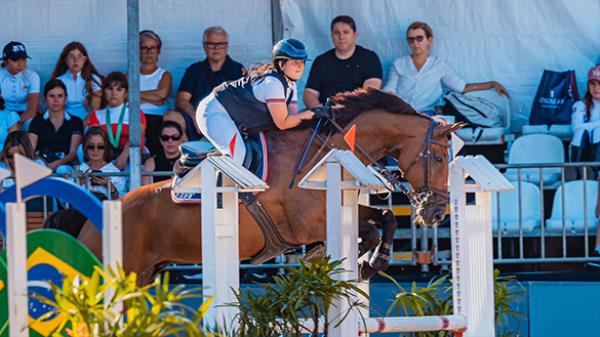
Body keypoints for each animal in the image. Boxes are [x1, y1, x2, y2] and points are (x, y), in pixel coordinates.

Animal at [75, 87, 462, 284]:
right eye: (438, 158)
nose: (436, 212)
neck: (323, 153)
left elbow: (386, 217)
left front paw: (371, 261)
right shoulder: (304, 225)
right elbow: (367, 228)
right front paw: (363, 261)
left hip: (144, 275)